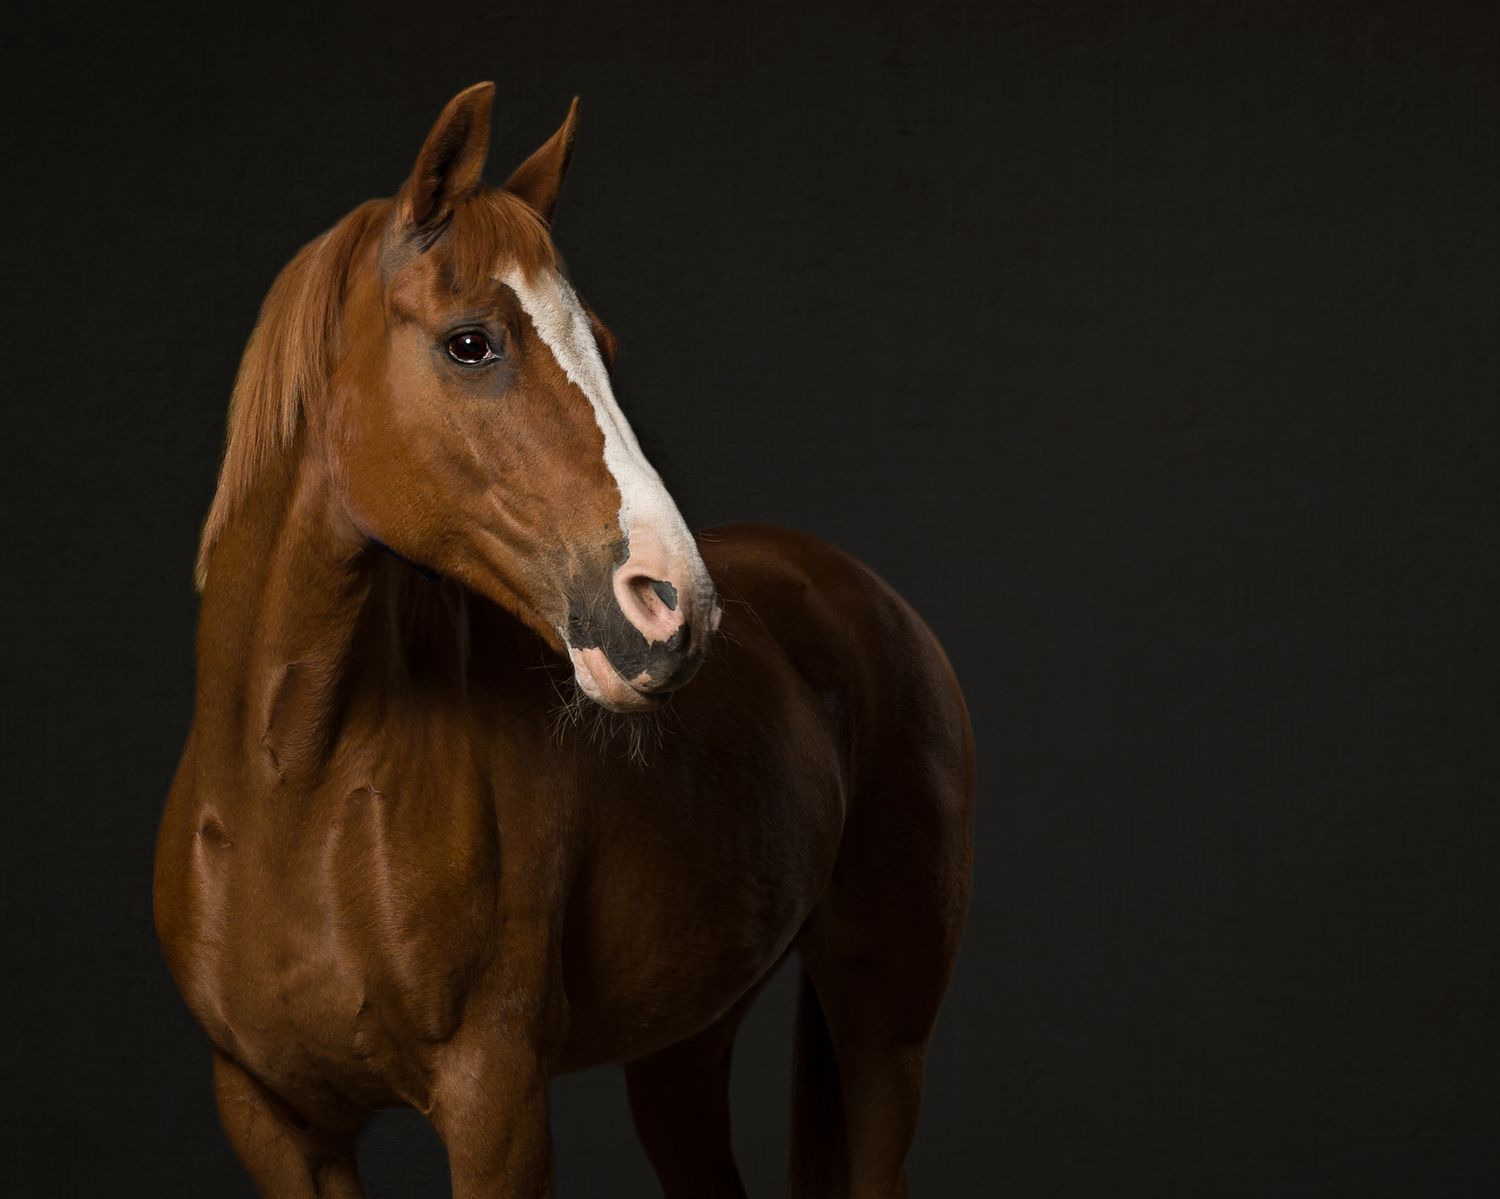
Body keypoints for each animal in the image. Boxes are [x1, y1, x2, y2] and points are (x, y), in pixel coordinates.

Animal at [153, 82, 973, 1198]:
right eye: (470, 343)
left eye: (606, 348)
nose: (675, 607)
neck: (295, 785)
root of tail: (855, 590)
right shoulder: (275, 1121)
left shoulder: (495, 1106)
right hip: (684, 1043)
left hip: (885, 1021)